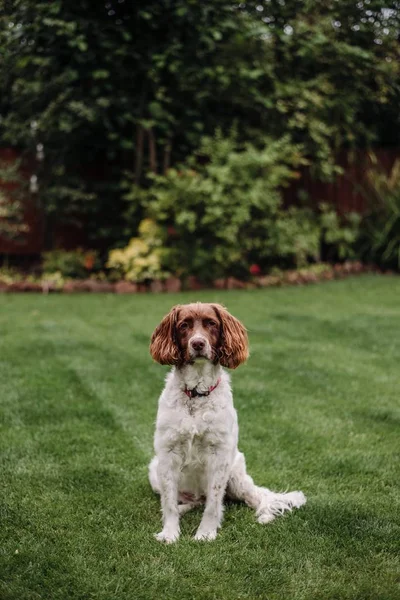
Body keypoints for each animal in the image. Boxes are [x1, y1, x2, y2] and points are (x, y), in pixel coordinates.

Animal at [148, 302, 304, 540]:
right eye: (184, 325)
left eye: (211, 323)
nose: (198, 343)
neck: (197, 394)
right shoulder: (167, 453)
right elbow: (169, 502)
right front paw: (170, 533)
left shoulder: (219, 454)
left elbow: (214, 503)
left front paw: (205, 533)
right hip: (154, 471)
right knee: (190, 502)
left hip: (237, 475)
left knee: (257, 497)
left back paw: (265, 516)